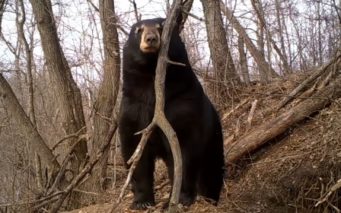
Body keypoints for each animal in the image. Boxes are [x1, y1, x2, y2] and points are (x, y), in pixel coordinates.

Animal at [118, 17, 224, 210]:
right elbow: (134, 150)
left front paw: (178, 200)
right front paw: (141, 202)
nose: (151, 38)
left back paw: (209, 198)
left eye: (161, 27)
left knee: (211, 168)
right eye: (139, 30)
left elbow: (183, 150)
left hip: (213, 136)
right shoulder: (133, 107)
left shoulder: (182, 102)